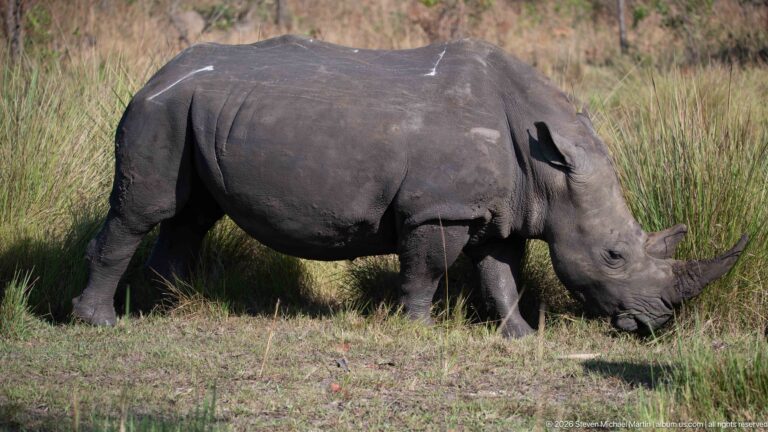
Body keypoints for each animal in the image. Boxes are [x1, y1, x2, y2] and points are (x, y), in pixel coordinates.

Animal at [73, 35, 747, 337]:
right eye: (613, 255)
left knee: (190, 216)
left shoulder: (502, 208)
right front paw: (418, 329)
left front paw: (521, 338)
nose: (659, 321)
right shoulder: (439, 208)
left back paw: (171, 313)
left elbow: (502, 273)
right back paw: (99, 325)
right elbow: (426, 269)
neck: (548, 166)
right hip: (159, 111)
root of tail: (155, 72)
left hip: (195, 112)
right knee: (143, 210)